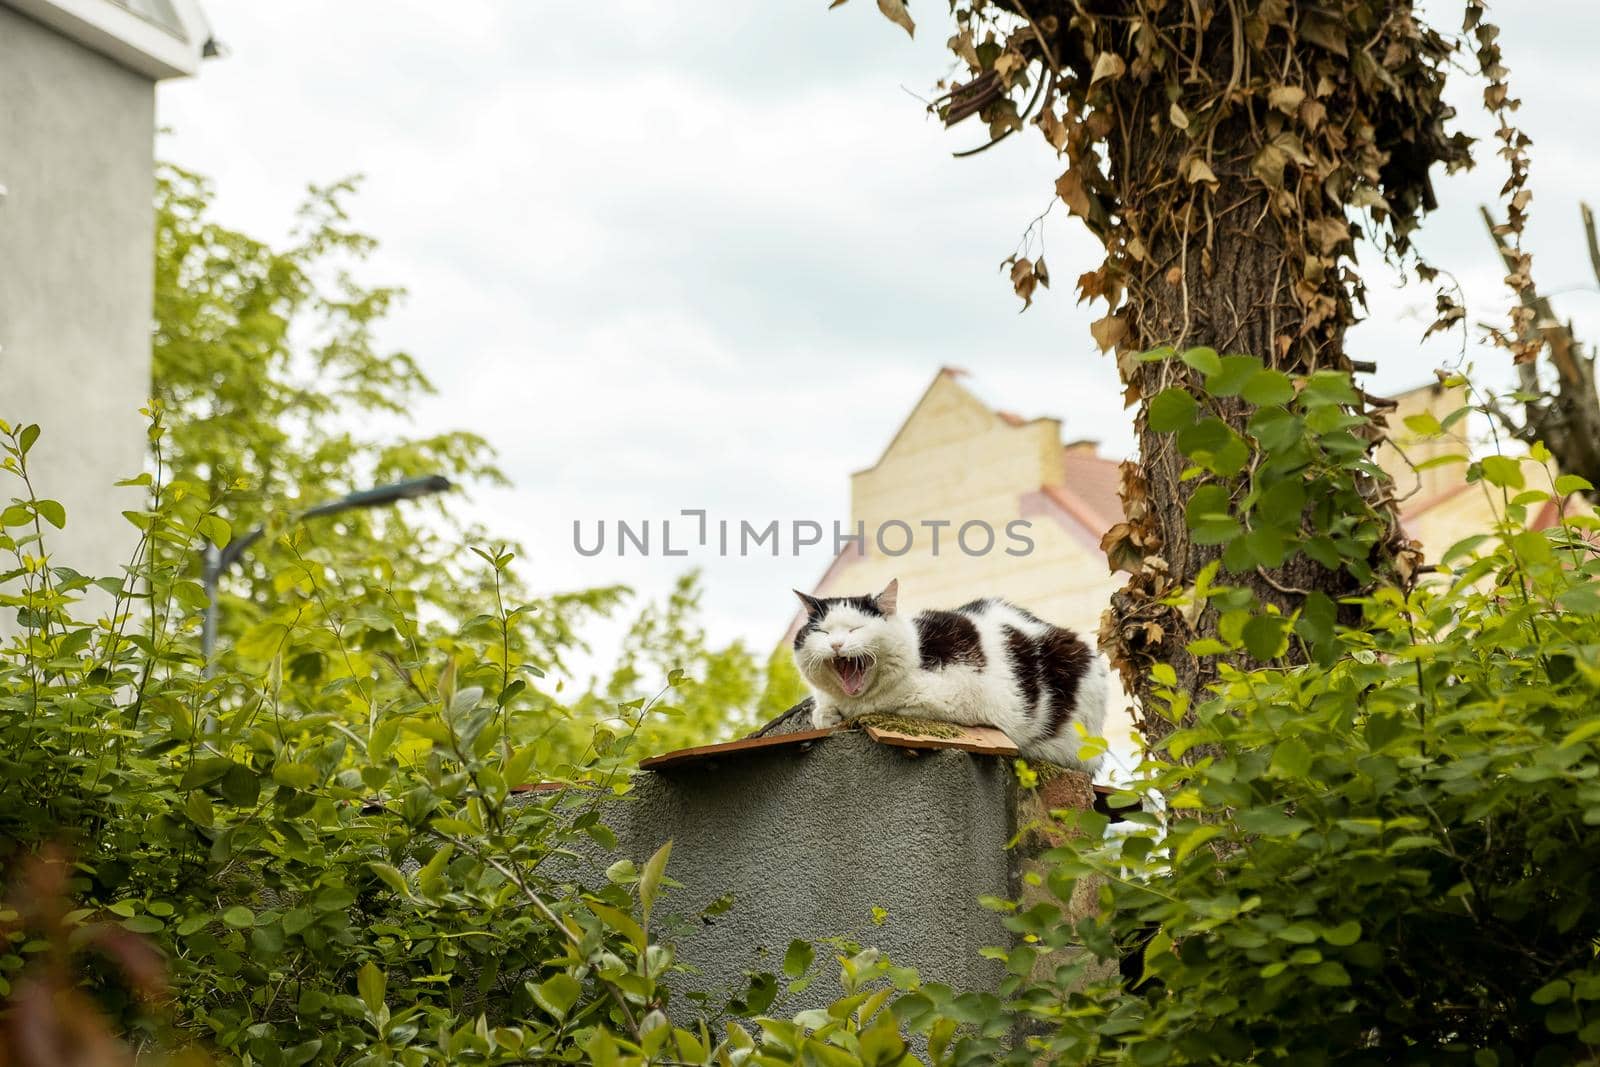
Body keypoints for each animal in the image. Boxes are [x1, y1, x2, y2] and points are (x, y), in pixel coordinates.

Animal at [768, 579, 1107, 771]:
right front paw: (824, 713)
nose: (837, 645)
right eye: (823, 633)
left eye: (856, 629)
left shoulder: (961, 696)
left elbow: (886, 704)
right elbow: (823, 704)